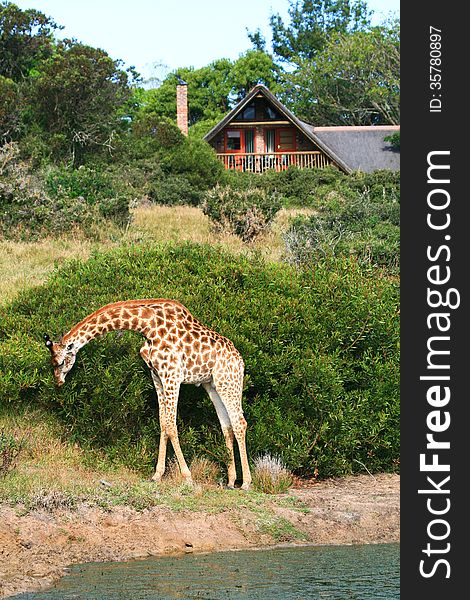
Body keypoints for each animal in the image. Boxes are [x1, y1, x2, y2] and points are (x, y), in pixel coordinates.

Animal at [42, 298, 252, 490]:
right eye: (52, 363)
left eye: (60, 362)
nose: (58, 382)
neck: (147, 326)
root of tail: (240, 361)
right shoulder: (157, 376)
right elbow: (163, 423)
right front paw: (157, 475)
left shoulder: (172, 375)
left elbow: (171, 425)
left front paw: (187, 477)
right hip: (213, 385)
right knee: (227, 426)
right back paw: (231, 481)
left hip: (229, 381)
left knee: (240, 423)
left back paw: (246, 483)